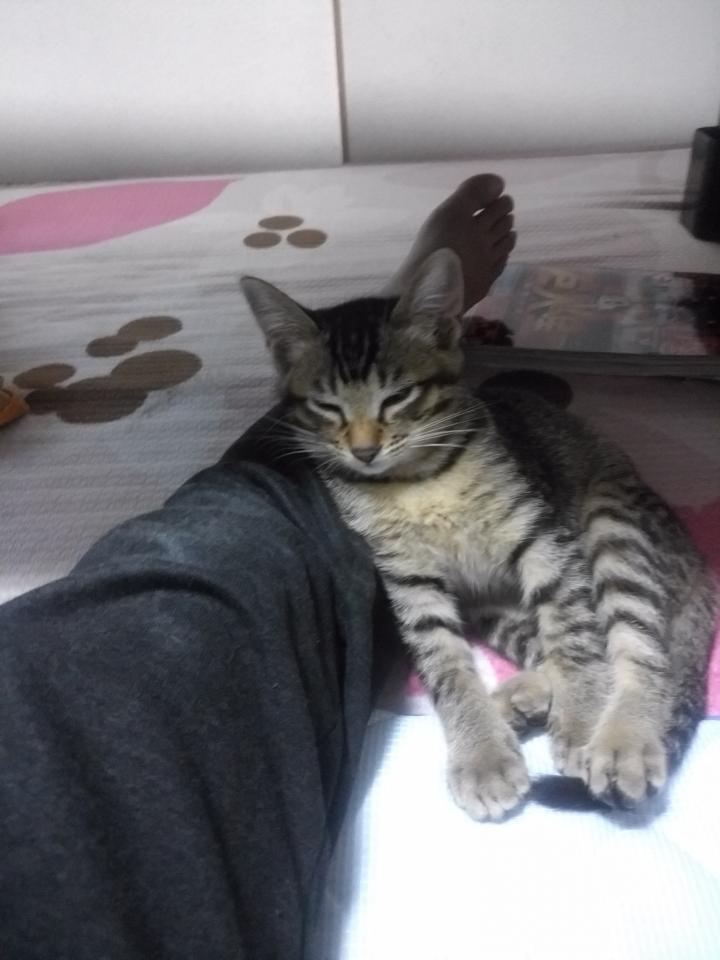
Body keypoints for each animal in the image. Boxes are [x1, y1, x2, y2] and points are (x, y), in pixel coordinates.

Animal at [242, 248, 717, 820]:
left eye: (397, 397)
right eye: (326, 406)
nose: (364, 451)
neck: (416, 480)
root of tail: (701, 563)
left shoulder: (544, 539)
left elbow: (574, 635)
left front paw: (582, 721)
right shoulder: (410, 580)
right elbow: (446, 665)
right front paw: (483, 756)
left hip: (611, 517)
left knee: (639, 647)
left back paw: (619, 737)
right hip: (489, 610)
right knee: (553, 646)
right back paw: (518, 701)